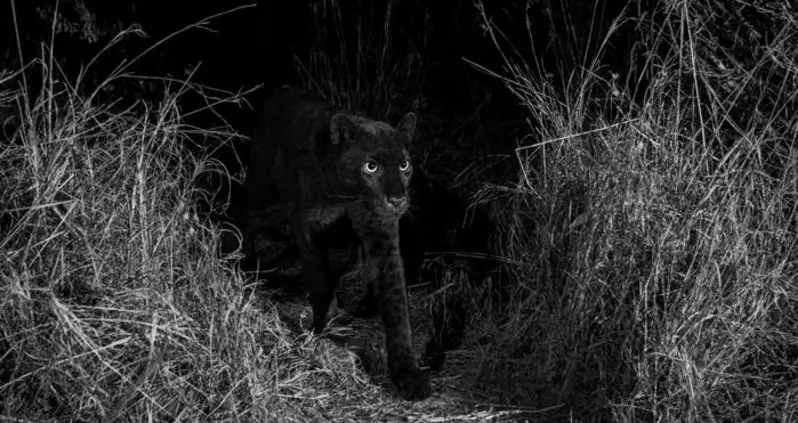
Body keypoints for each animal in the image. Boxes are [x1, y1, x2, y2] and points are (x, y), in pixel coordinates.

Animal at [242, 85, 430, 400]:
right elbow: (320, 279)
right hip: (263, 191)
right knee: (240, 209)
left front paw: (407, 374)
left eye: (404, 165)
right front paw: (327, 330)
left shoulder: (382, 234)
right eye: (371, 166)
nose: (396, 199)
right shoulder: (306, 227)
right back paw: (243, 262)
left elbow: (396, 304)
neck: (347, 196)